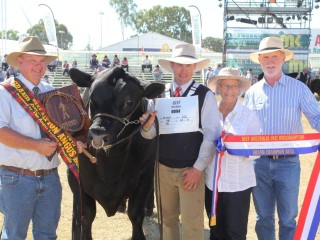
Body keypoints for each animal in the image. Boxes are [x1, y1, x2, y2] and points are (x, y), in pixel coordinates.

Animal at [68, 67, 165, 240]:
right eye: (92, 97)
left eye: (129, 101)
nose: (98, 134)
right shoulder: (76, 178)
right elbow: (86, 215)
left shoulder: (144, 175)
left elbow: (136, 213)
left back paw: (148, 208)